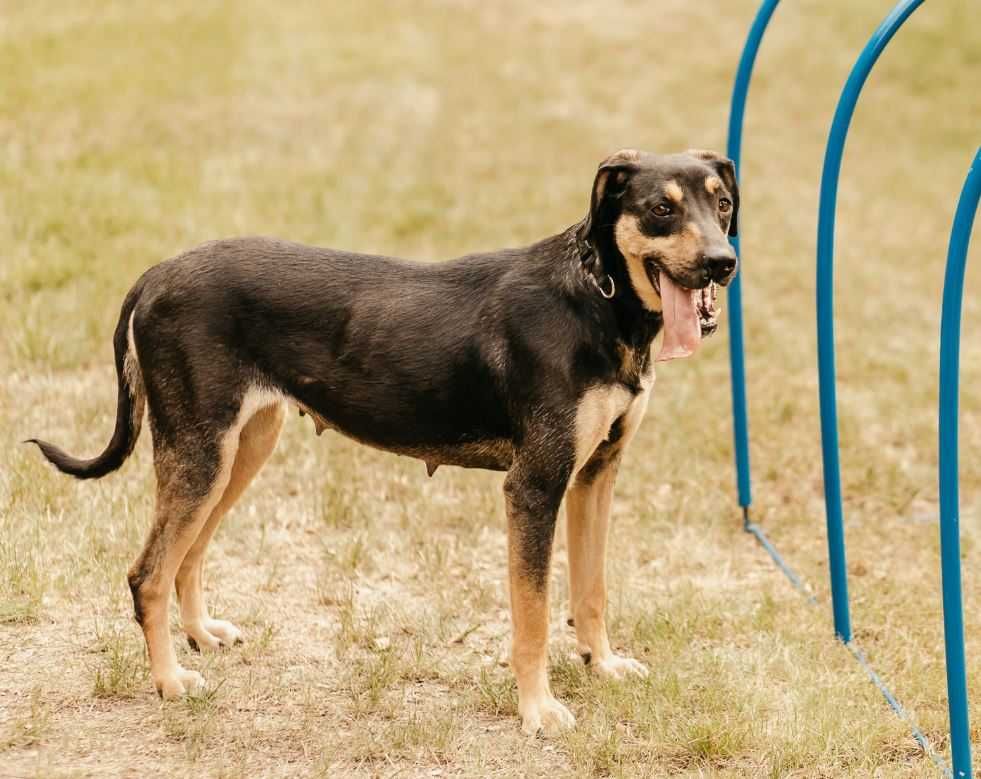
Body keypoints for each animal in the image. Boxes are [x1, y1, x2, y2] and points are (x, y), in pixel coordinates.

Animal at [28, 148, 736, 736]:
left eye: (722, 203)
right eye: (662, 208)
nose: (723, 264)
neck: (597, 297)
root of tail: (153, 275)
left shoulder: (596, 474)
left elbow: (591, 591)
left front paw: (602, 665)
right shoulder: (534, 487)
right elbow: (532, 616)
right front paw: (538, 711)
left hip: (242, 448)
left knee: (189, 556)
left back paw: (201, 636)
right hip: (202, 452)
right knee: (148, 573)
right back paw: (171, 682)